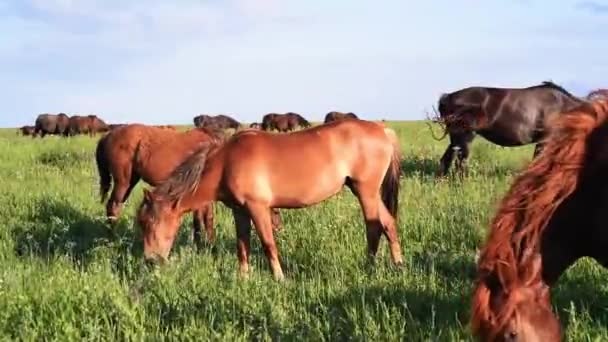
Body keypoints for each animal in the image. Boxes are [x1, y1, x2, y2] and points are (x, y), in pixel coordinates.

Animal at [138, 119, 404, 280]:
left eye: (151, 223)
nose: (150, 261)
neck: (226, 162)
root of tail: (383, 130)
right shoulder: (240, 211)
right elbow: (242, 245)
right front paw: (243, 278)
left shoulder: (258, 208)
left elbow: (268, 243)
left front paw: (279, 278)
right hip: (367, 192)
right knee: (388, 223)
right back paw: (398, 264)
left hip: (365, 192)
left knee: (373, 228)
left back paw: (370, 267)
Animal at [432, 81, 584, 176]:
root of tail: (448, 97)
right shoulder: (545, 141)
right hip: (464, 138)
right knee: (459, 164)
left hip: (456, 140)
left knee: (446, 161)